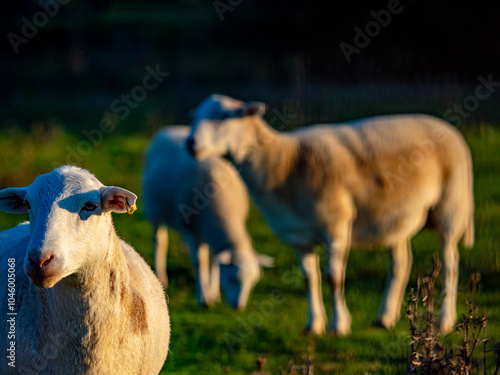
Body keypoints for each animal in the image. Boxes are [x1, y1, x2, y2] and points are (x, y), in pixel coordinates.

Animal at [141, 125, 274, 310]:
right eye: (232, 278)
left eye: (253, 282)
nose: (238, 307)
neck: (224, 212)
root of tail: (168, 129)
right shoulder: (191, 230)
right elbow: (201, 263)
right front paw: (204, 298)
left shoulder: (208, 232)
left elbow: (214, 261)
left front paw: (214, 293)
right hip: (154, 211)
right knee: (159, 241)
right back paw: (161, 276)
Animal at [186, 95, 474, 336]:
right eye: (195, 116)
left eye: (225, 116)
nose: (190, 143)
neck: (283, 164)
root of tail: (449, 128)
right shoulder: (298, 235)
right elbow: (309, 279)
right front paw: (313, 325)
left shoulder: (336, 225)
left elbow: (333, 278)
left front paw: (339, 325)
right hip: (396, 217)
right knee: (401, 263)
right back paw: (385, 318)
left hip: (451, 208)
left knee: (451, 263)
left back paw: (444, 321)